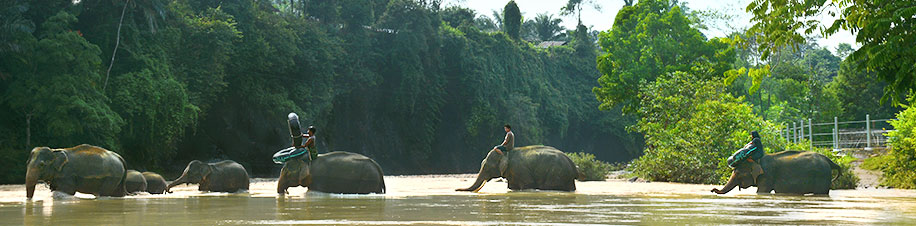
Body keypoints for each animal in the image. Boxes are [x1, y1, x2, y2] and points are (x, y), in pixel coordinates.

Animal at [712, 150, 840, 194]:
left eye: (737, 173)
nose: (712, 190)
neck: (756, 160)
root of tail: (828, 160)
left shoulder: (767, 175)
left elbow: (762, 191)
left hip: (822, 176)